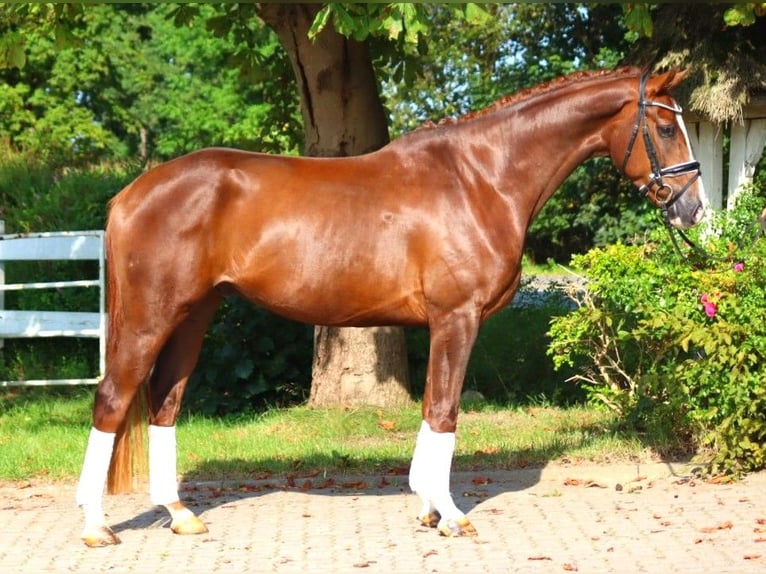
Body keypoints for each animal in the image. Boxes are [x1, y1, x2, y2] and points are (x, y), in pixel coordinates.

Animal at [78, 66, 708, 544]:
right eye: (663, 126)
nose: (693, 209)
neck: (481, 178)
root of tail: (130, 194)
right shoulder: (457, 318)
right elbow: (445, 411)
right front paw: (450, 515)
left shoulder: (443, 324)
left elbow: (432, 409)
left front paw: (427, 507)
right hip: (150, 318)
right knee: (113, 399)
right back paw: (95, 527)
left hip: (194, 316)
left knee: (164, 402)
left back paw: (180, 515)